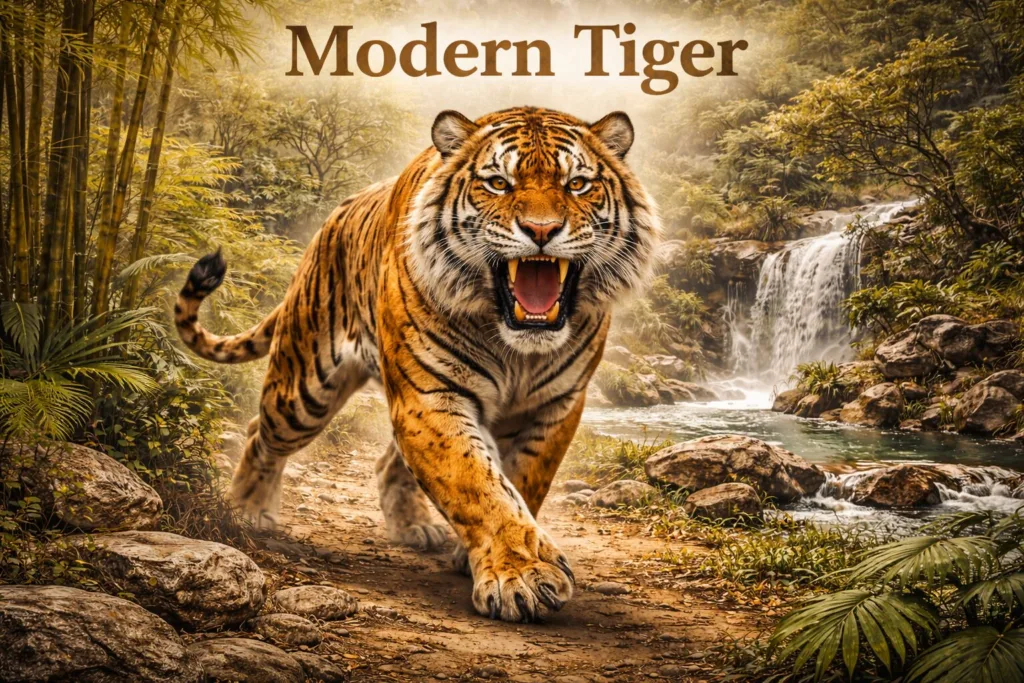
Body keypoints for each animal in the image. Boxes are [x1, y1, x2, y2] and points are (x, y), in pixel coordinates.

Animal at [174, 106, 659, 622]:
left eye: (578, 184)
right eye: (498, 183)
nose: (542, 231)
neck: (517, 349)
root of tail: (335, 215)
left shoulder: (555, 405)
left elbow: (523, 482)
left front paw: (487, 559)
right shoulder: (430, 395)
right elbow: (477, 484)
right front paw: (521, 576)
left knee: (389, 461)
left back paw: (415, 529)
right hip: (305, 386)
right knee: (259, 433)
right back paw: (249, 512)